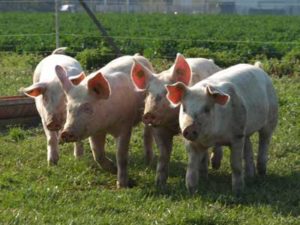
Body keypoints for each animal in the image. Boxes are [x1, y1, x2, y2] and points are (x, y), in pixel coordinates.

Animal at [54, 55, 155, 188]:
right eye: (68, 108)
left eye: (87, 108)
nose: (65, 133)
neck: (107, 125)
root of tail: (137, 56)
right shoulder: (95, 130)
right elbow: (97, 153)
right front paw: (113, 169)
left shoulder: (125, 125)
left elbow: (121, 155)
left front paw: (122, 186)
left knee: (147, 134)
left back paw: (148, 162)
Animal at [130, 53, 224, 187]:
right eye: (148, 93)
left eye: (167, 92)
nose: (148, 114)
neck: (172, 123)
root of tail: (211, 62)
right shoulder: (159, 129)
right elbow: (164, 154)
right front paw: (159, 184)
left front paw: (200, 179)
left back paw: (214, 166)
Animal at [165, 63, 278, 195]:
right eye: (184, 109)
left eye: (207, 109)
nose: (189, 127)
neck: (213, 138)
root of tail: (258, 68)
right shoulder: (192, 142)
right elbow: (192, 165)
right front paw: (192, 191)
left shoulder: (237, 135)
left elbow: (236, 165)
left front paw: (237, 192)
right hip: (246, 130)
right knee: (248, 147)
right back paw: (250, 177)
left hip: (271, 118)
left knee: (265, 140)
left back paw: (262, 173)